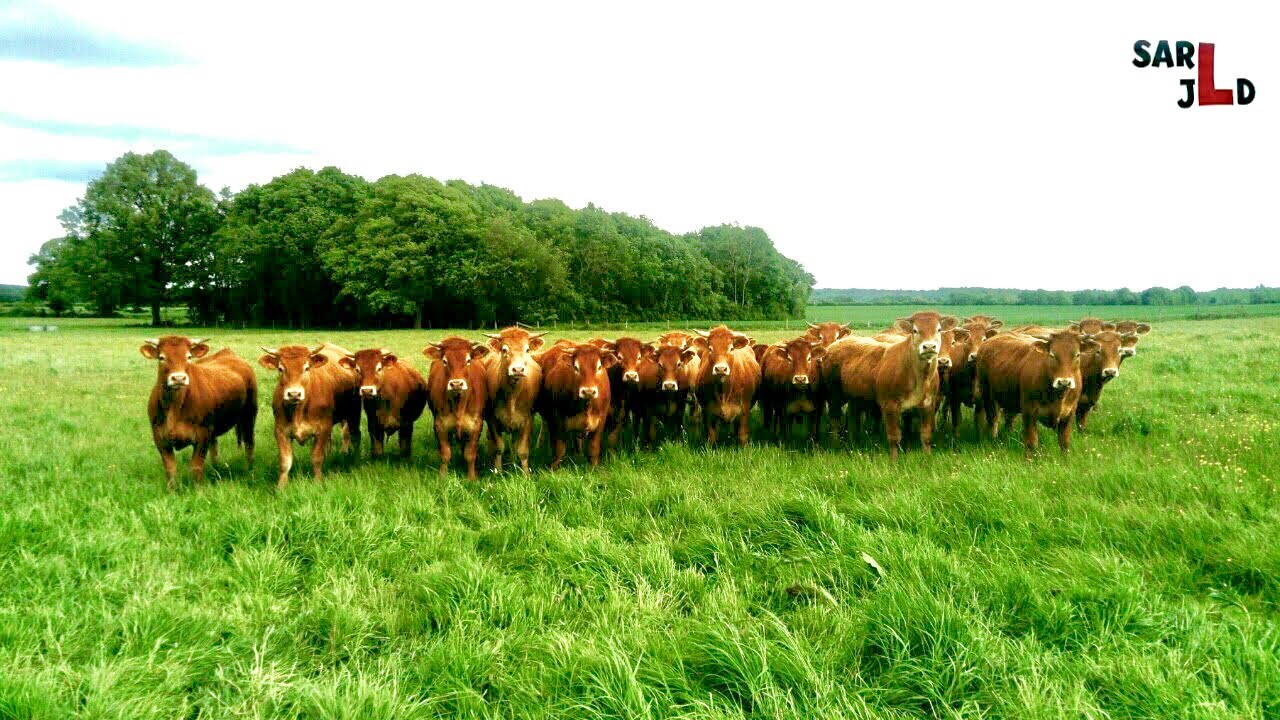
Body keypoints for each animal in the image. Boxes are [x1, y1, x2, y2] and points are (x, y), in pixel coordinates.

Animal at [140, 336, 257, 490]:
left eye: (189, 357)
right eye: (161, 357)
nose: (178, 378)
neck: (174, 408)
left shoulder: (202, 435)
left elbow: (196, 467)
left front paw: (199, 490)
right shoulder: (160, 438)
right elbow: (170, 468)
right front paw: (171, 491)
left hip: (249, 415)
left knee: (249, 443)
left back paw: (250, 471)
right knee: (215, 449)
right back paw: (215, 469)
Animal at [259, 343, 361, 489]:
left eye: (306, 368)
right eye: (280, 368)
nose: (294, 394)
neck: (298, 410)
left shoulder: (323, 429)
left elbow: (316, 458)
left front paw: (318, 482)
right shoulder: (280, 431)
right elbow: (285, 462)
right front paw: (281, 487)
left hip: (354, 414)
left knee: (355, 436)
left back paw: (355, 458)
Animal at [423, 337, 490, 479]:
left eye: (468, 360)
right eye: (444, 361)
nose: (456, 383)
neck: (459, 404)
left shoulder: (475, 425)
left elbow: (470, 454)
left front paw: (472, 477)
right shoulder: (440, 424)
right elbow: (445, 453)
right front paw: (442, 476)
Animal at [481, 327, 547, 473]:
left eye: (527, 349)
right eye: (504, 349)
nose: (518, 369)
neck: (512, 396)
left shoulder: (527, 419)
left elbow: (522, 450)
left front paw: (524, 474)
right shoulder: (492, 419)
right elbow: (498, 447)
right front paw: (498, 472)